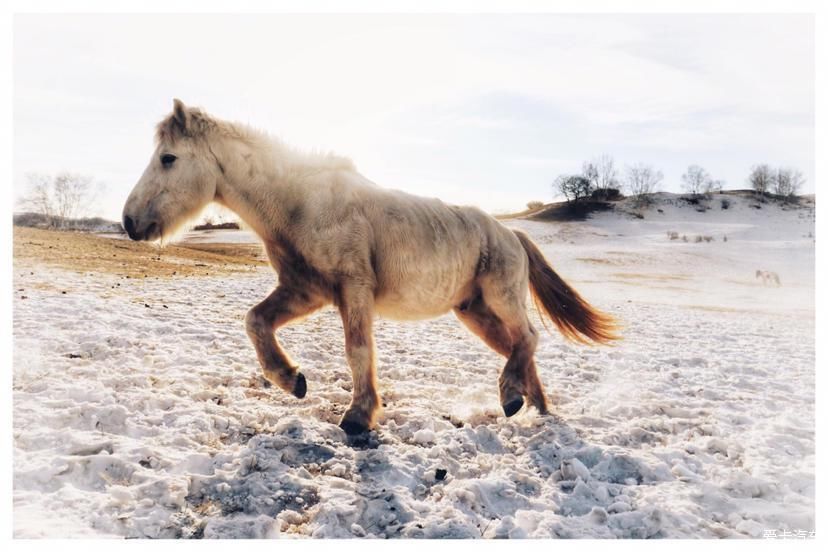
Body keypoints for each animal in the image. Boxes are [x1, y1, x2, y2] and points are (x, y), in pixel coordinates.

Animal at [121, 99, 616, 436]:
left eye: (168, 158)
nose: (129, 222)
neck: (302, 205)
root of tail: (510, 233)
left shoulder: (353, 289)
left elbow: (358, 350)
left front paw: (358, 416)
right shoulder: (306, 290)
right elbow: (255, 321)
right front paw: (292, 381)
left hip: (500, 297)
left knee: (527, 338)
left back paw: (512, 396)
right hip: (475, 312)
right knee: (518, 346)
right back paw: (533, 407)